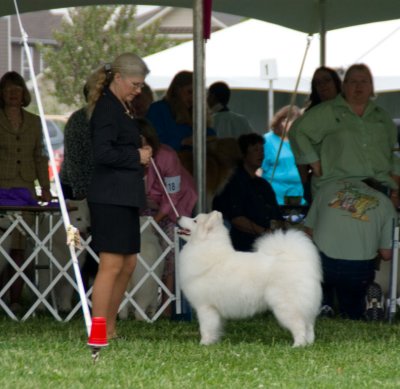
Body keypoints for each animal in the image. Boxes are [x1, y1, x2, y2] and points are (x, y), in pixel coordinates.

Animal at [178, 211, 322, 348]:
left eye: (195, 220)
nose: (178, 217)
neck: (206, 249)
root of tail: (298, 260)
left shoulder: (205, 307)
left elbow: (205, 328)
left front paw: (204, 344)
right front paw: (213, 341)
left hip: (286, 306)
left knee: (299, 326)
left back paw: (298, 345)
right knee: (309, 326)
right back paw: (309, 344)